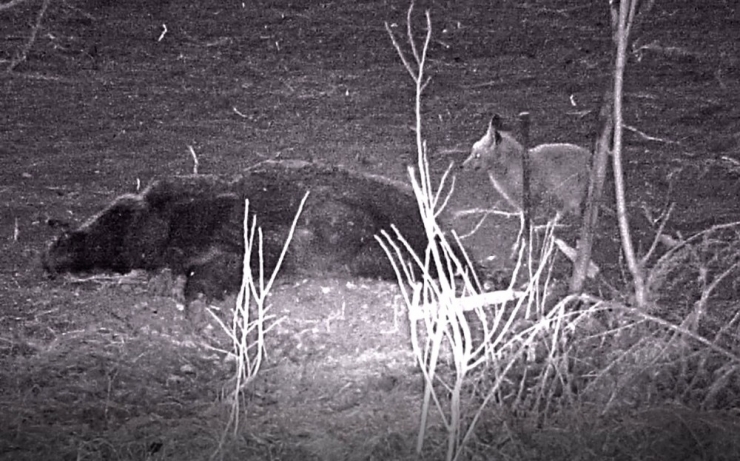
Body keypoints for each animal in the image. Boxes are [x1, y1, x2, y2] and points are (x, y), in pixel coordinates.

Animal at [460, 114, 592, 217]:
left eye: (477, 155)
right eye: (472, 151)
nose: (461, 166)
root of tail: (590, 155)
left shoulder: (531, 200)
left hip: (570, 196)